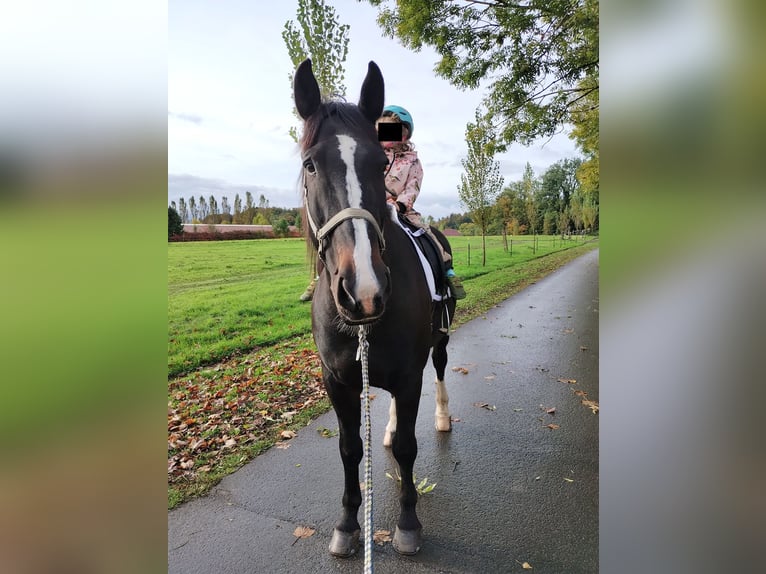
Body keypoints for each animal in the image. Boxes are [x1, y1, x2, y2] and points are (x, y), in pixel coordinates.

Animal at [296, 59, 460, 560]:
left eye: (380, 163)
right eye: (310, 164)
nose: (363, 290)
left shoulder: (409, 374)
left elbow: (408, 448)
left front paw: (408, 524)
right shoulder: (337, 380)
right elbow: (351, 449)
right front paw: (348, 525)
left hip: (439, 342)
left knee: (441, 370)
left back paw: (442, 417)